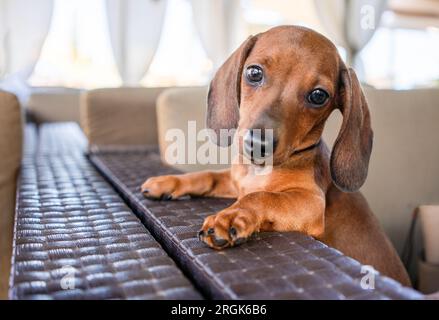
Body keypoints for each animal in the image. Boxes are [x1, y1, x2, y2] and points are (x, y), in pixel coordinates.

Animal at [142, 25, 412, 284]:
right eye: (254, 73)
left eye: (318, 96)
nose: (257, 144)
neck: (260, 170)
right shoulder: (236, 183)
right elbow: (207, 175)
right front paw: (168, 182)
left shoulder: (311, 202)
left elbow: (262, 197)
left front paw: (231, 216)